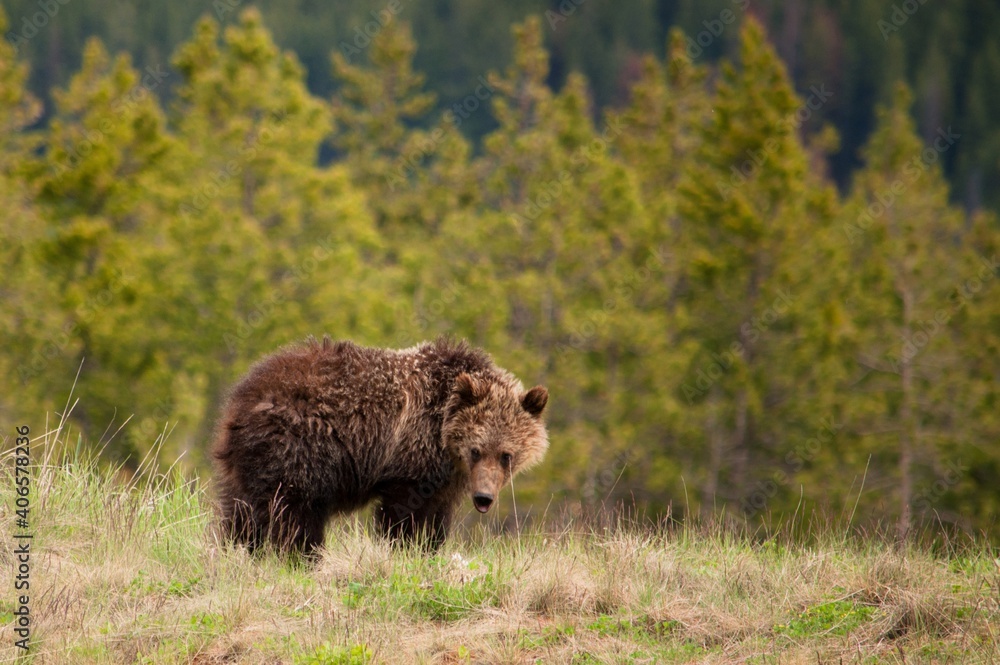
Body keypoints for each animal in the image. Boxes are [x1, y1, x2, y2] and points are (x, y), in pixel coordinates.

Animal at [212, 336, 549, 555]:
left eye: (506, 455)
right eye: (475, 449)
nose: (483, 497)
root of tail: (240, 399)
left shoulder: (445, 480)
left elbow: (436, 518)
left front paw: (428, 549)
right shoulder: (411, 458)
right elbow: (404, 513)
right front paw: (402, 548)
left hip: (249, 463)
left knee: (241, 510)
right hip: (298, 448)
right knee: (292, 511)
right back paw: (299, 555)